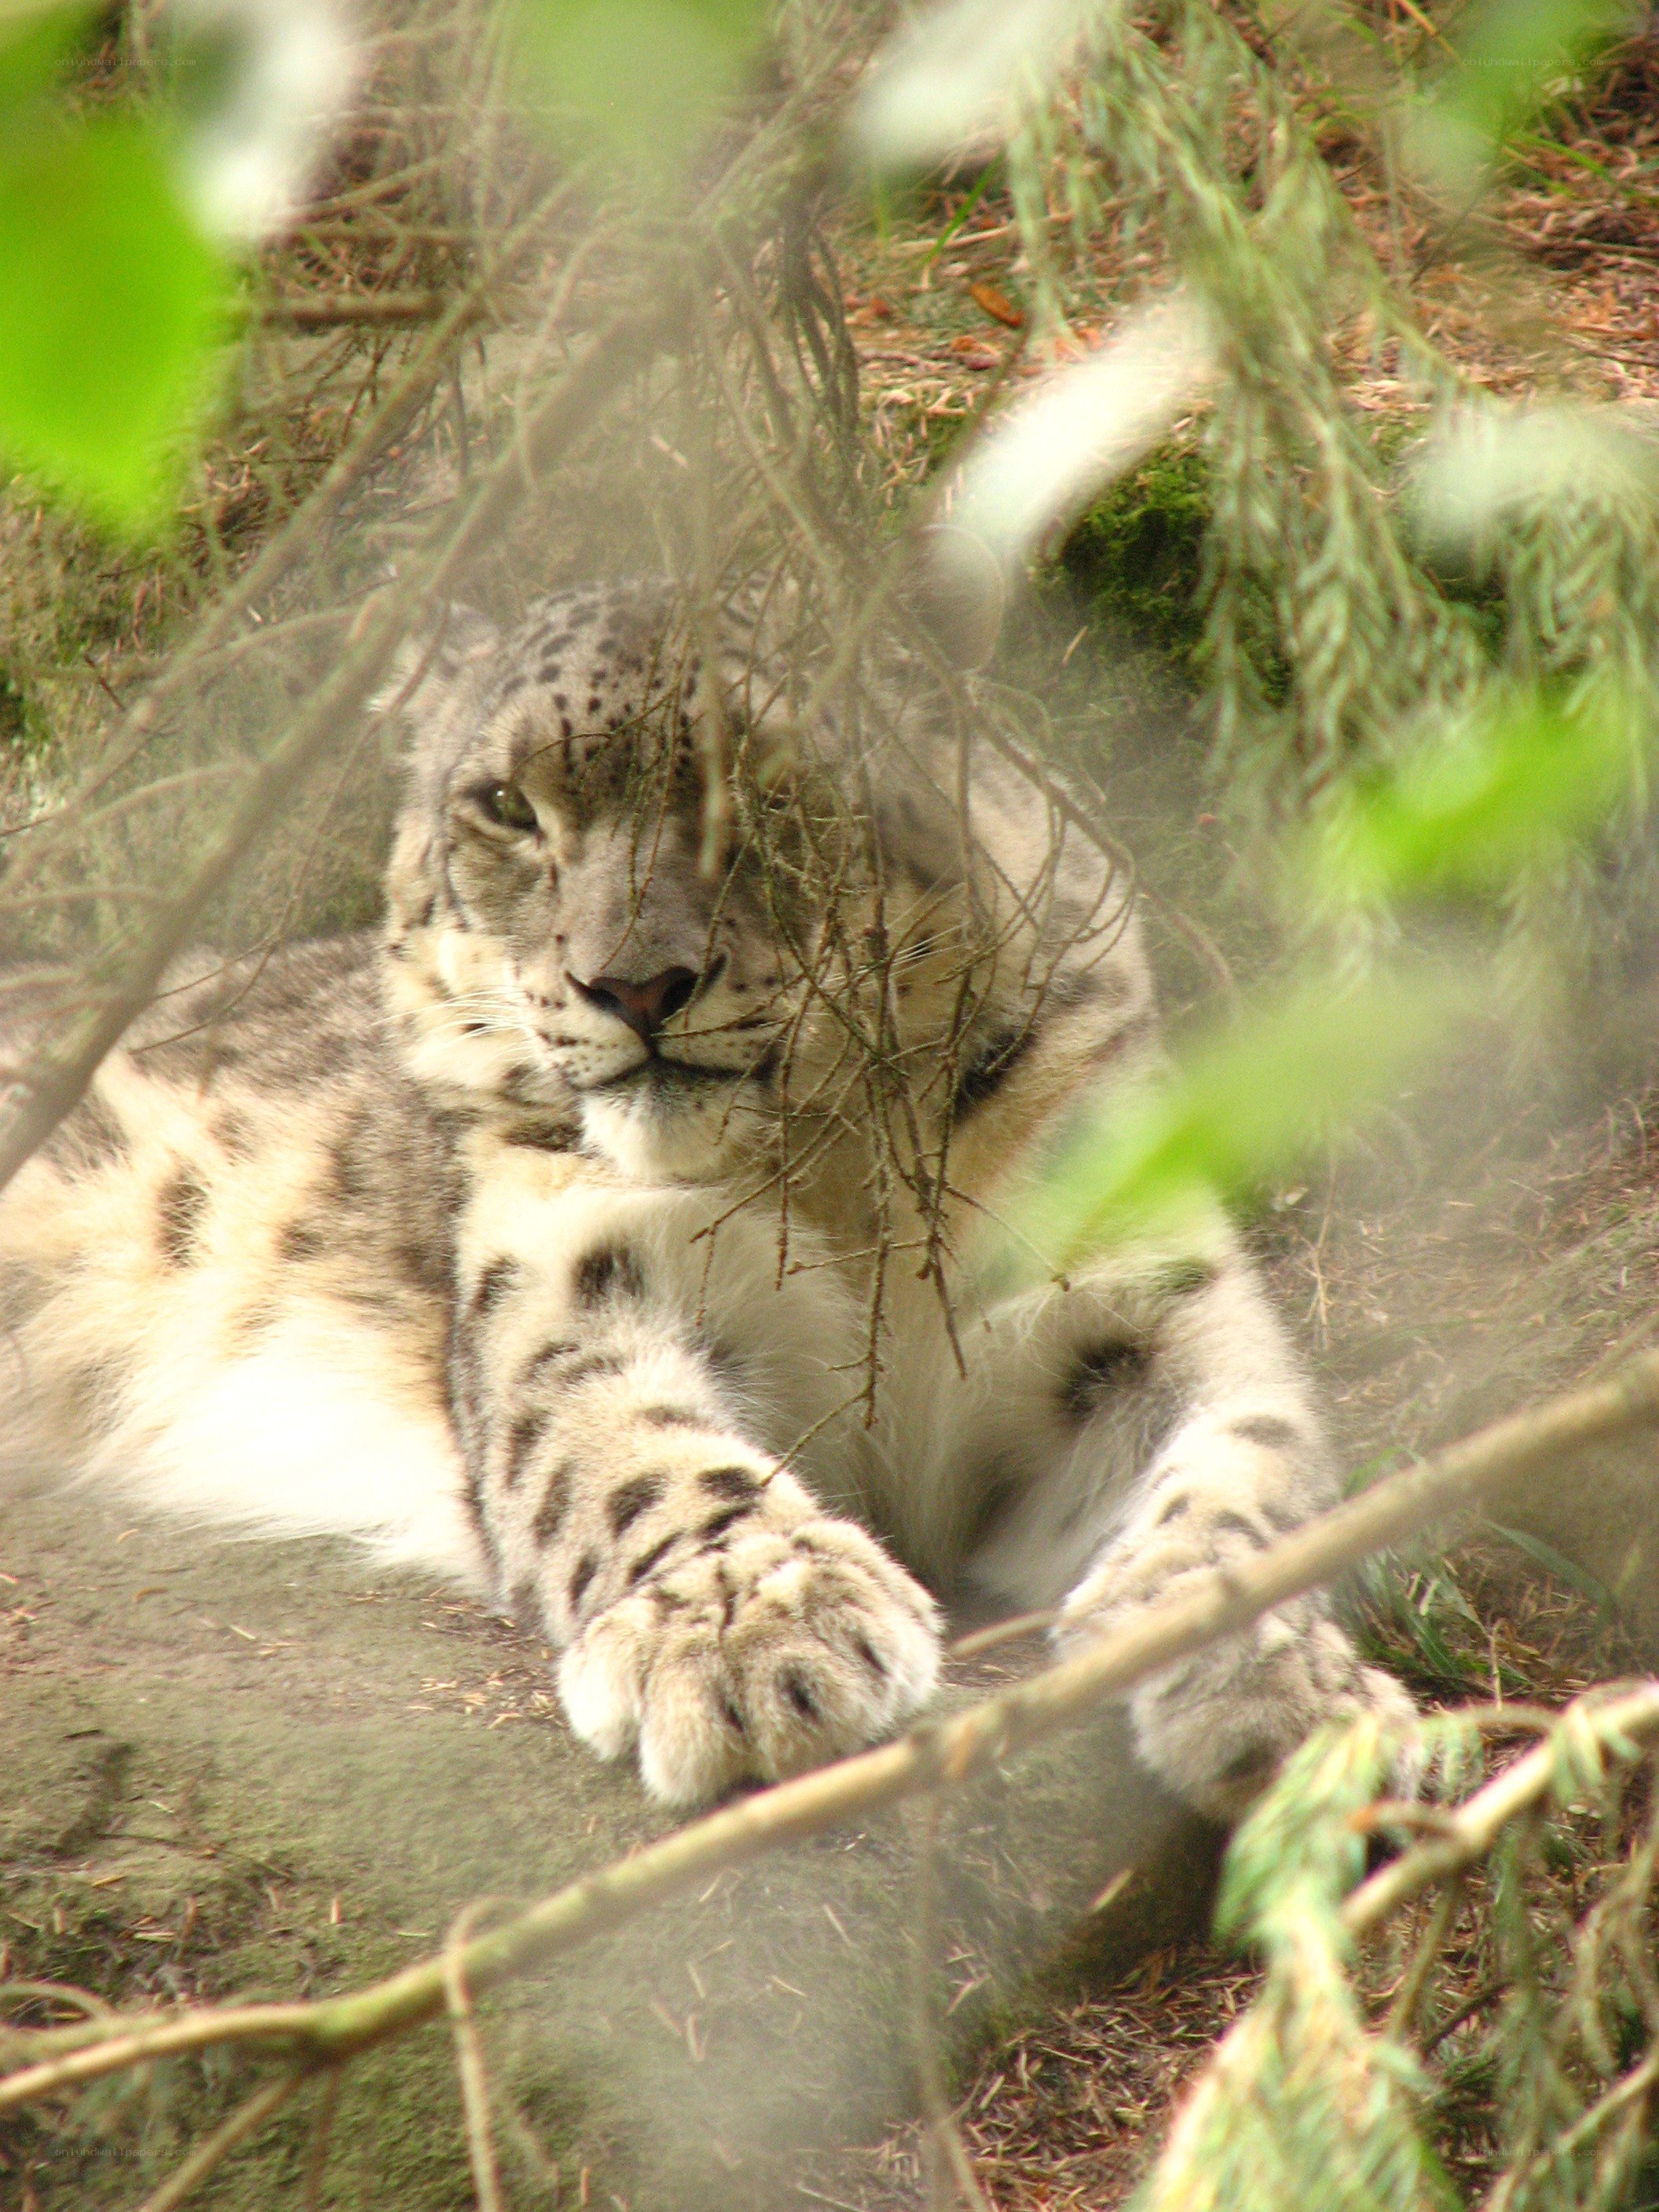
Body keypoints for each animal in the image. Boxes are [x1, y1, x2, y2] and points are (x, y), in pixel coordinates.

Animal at [0, 577, 1411, 1816]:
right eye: (506, 805)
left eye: (766, 775)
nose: (632, 982)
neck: (851, 1174)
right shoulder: (569, 1273)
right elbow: (629, 1446)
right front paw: (755, 1633)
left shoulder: (1140, 1291)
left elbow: (1256, 1450)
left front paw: (1272, 1668)